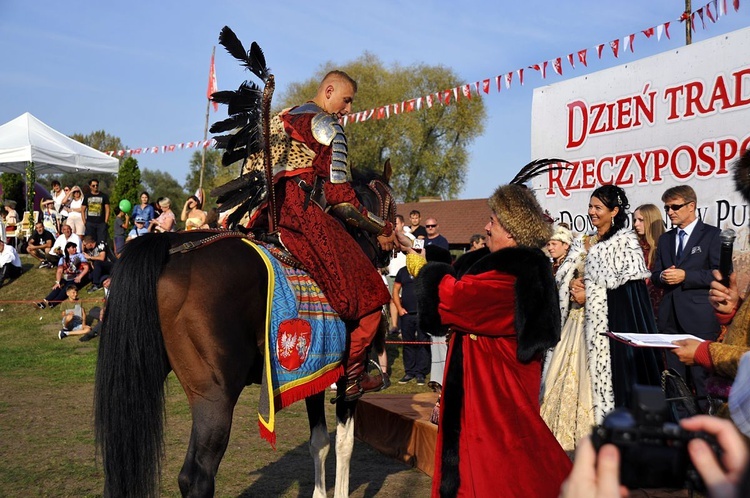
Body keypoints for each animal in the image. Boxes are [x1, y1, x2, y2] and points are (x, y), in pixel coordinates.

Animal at [96, 164, 396, 498]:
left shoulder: (315, 374)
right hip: (215, 396)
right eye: (393, 206)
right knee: (196, 477)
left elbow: (319, 443)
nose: (393, 246)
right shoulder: (346, 382)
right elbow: (345, 443)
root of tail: (170, 249)